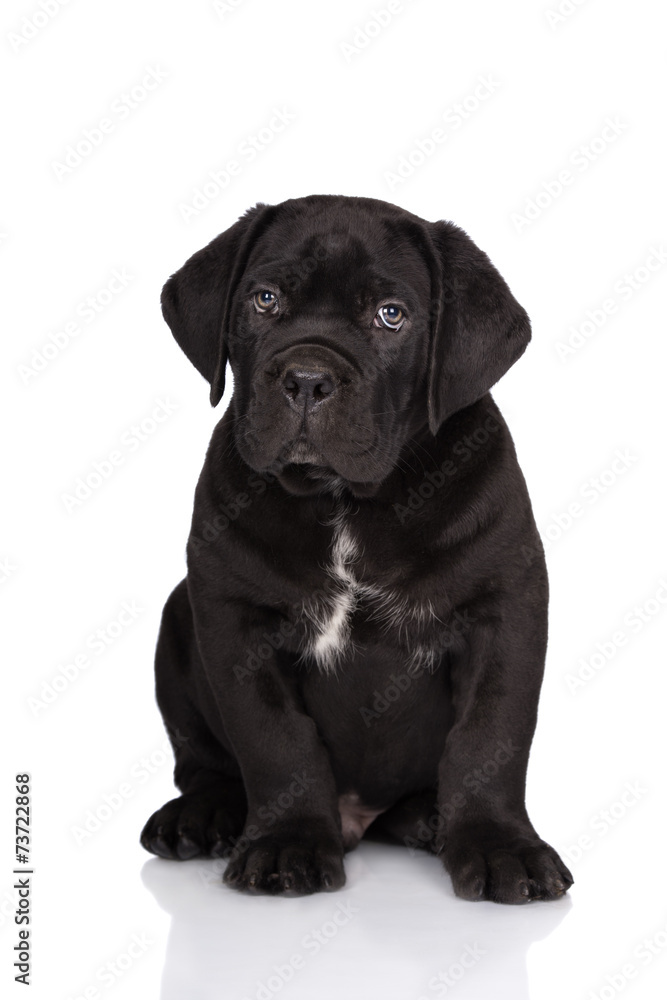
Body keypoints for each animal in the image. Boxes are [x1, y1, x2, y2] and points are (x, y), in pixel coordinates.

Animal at [141, 195, 576, 908]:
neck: (349, 502)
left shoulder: (503, 609)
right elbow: (276, 740)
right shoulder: (233, 617)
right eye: (265, 299)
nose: (307, 379)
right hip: (177, 618)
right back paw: (200, 816)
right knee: (203, 763)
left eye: (390, 315)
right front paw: (287, 842)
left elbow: (490, 737)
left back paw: (429, 819)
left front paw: (498, 846)